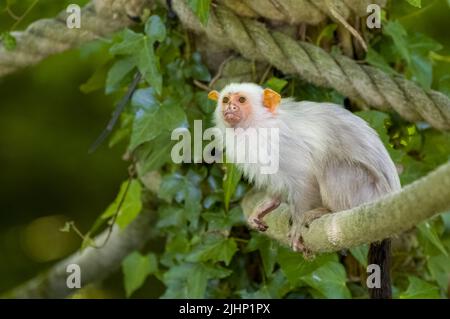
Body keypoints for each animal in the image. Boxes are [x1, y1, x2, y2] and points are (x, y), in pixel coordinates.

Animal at [207, 83, 400, 300]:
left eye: (241, 100)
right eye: (226, 100)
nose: (230, 108)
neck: (257, 126)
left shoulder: (282, 144)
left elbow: (305, 177)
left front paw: (298, 222)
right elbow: (275, 185)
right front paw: (267, 206)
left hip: (365, 190)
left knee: (331, 165)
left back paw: (329, 211)